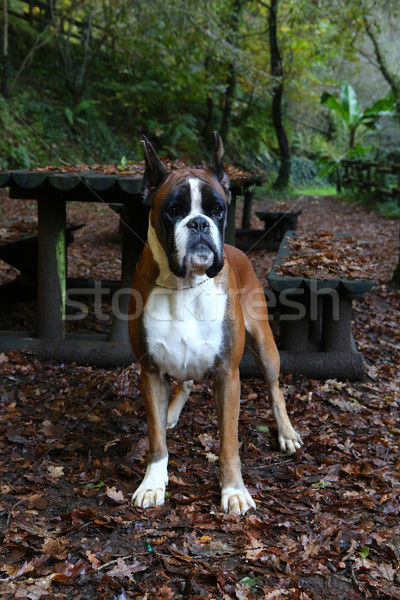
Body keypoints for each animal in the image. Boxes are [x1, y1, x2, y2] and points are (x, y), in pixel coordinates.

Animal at [130, 134, 302, 512]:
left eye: (218, 209)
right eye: (173, 210)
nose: (198, 223)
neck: (184, 284)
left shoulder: (227, 375)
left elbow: (228, 442)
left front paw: (234, 490)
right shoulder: (151, 371)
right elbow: (156, 440)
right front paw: (153, 483)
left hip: (265, 346)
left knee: (275, 389)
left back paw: (286, 433)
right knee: (185, 384)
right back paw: (171, 413)